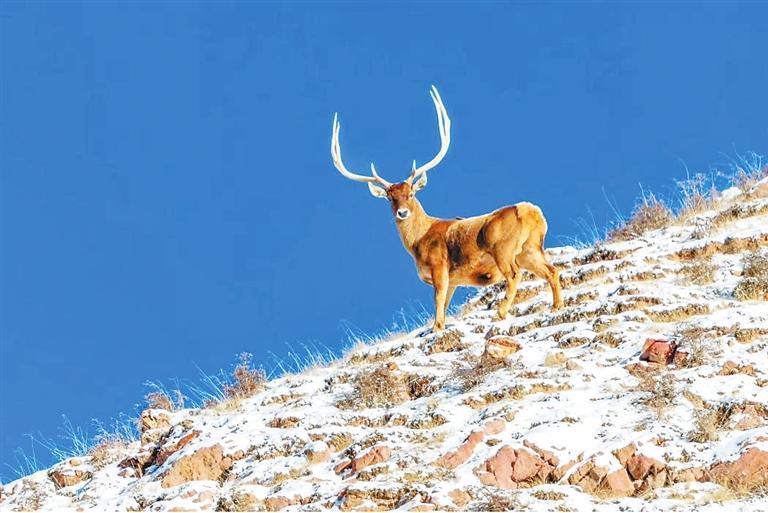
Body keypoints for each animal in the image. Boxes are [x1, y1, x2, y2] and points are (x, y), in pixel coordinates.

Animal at [330, 86, 563, 331]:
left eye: (411, 194)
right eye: (389, 198)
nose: (402, 212)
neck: (417, 242)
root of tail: (529, 212)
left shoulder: (439, 265)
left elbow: (438, 299)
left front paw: (435, 328)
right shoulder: (454, 279)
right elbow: (446, 302)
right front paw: (439, 325)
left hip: (503, 248)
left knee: (514, 275)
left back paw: (501, 312)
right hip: (531, 248)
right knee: (552, 270)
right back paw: (556, 305)